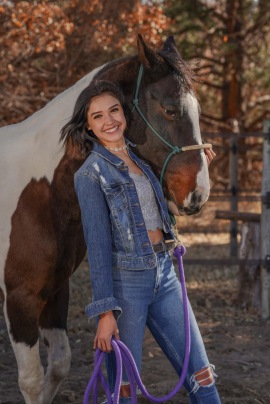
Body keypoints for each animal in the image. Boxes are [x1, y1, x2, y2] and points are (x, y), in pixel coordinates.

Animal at [0, 35, 211, 404]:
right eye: (170, 109)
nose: (198, 194)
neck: (39, 194)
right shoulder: (19, 298)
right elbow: (31, 380)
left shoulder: (56, 291)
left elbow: (59, 364)